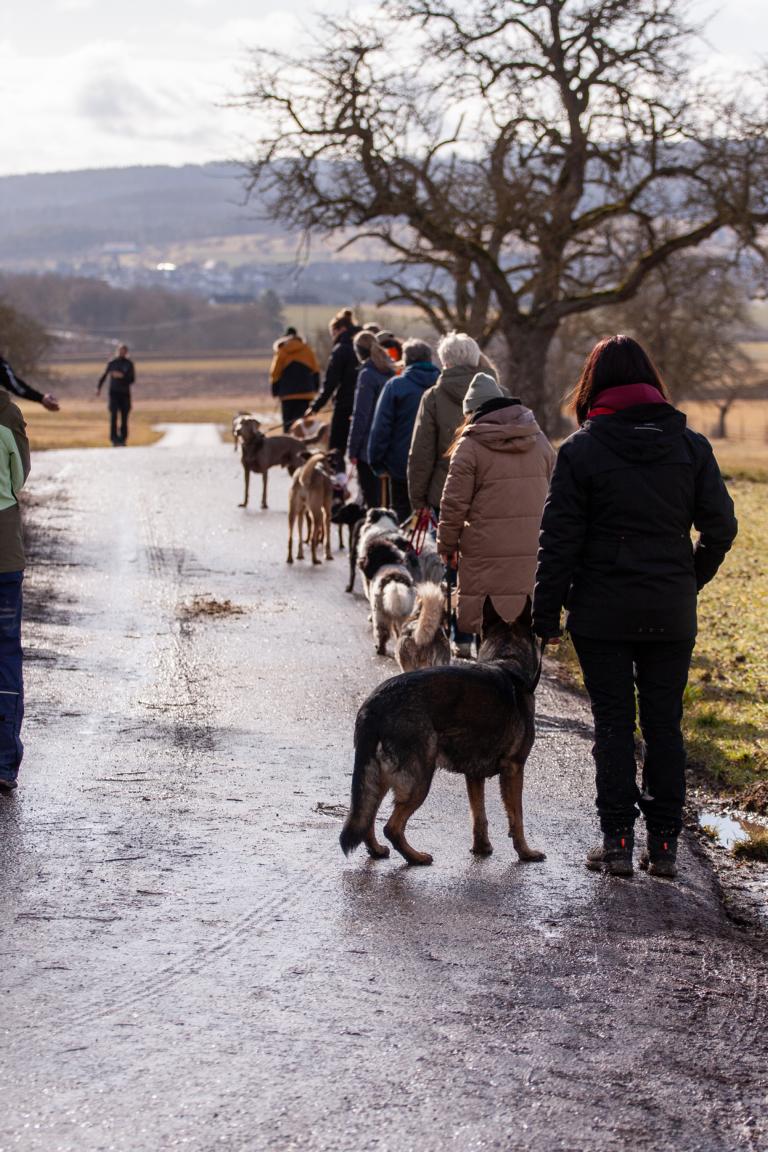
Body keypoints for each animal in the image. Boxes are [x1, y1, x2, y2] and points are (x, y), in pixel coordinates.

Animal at [339, 597, 545, 866]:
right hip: (420, 779)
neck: (506, 659)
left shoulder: (474, 776)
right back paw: (415, 857)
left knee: (368, 816)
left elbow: (478, 815)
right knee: (391, 827)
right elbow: (517, 817)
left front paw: (482, 847)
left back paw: (377, 850)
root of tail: (374, 704)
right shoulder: (514, 769)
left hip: (379, 777)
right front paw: (525, 852)